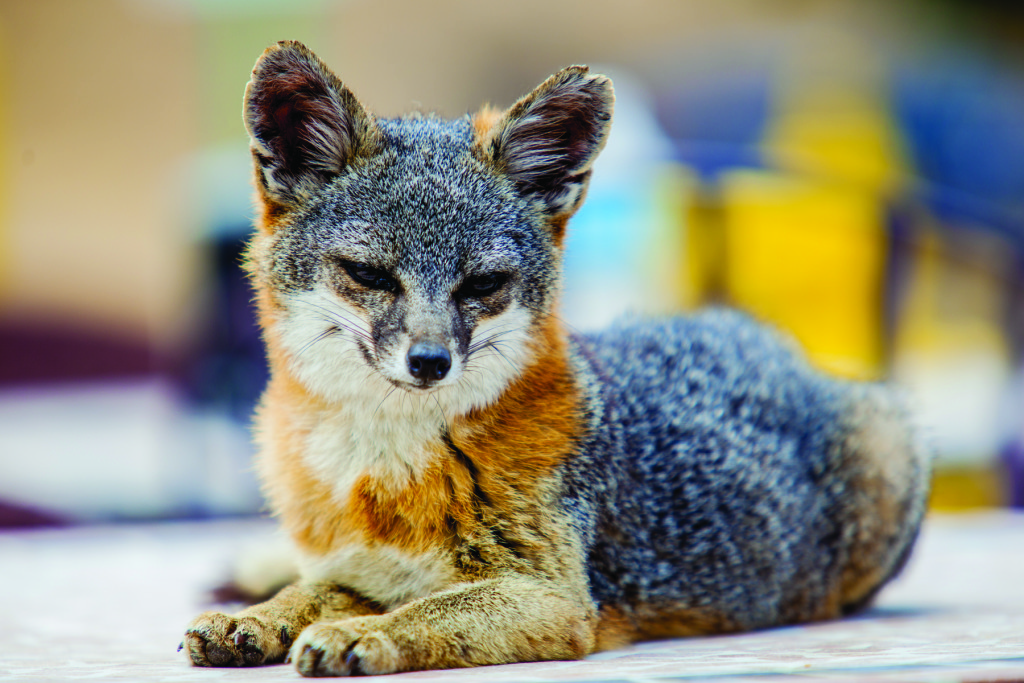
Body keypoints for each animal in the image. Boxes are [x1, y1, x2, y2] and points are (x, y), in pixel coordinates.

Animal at [183, 40, 930, 677]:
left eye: (482, 284)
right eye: (368, 274)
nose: (430, 362)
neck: (385, 469)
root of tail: (768, 340)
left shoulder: (555, 596)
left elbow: (432, 608)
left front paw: (362, 634)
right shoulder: (359, 567)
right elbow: (310, 590)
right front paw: (260, 616)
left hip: (888, 445)